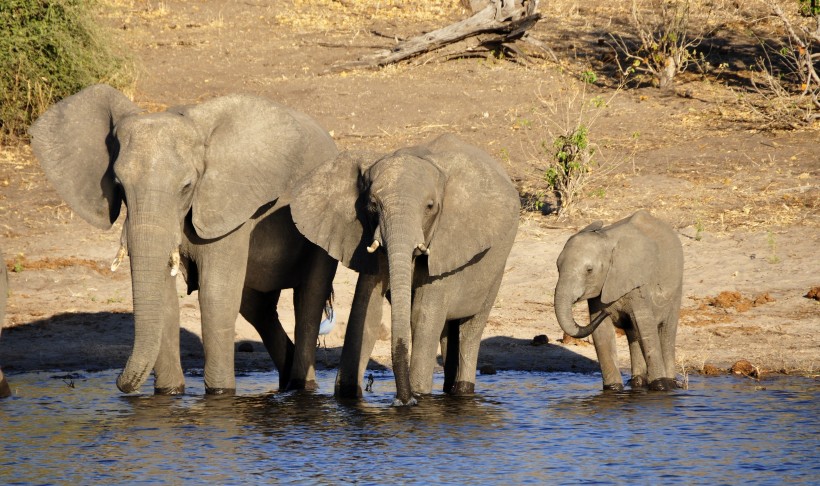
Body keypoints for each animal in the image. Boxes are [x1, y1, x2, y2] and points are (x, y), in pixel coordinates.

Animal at [28, 83, 336, 394]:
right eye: (119, 185)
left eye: (187, 186)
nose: (120, 384)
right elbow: (165, 298)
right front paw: (169, 394)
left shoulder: (228, 208)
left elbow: (215, 296)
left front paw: (220, 394)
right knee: (257, 307)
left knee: (308, 301)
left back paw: (302, 387)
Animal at [288, 134, 520, 406]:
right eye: (372, 204)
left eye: (430, 206)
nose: (403, 400)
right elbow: (366, 310)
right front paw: (348, 396)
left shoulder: (445, 242)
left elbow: (421, 314)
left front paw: (419, 397)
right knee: (447, 332)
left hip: (497, 267)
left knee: (470, 330)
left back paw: (463, 389)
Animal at [552, 209, 684, 392]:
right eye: (558, 267)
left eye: (589, 270)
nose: (607, 312)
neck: (607, 241)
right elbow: (602, 333)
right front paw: (613, 389)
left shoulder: (637, 284)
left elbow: (646, 326)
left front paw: (660, 386)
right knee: (633, 332)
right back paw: (637, 382)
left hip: (676, 286)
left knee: (666, 331)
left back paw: (671, 383)